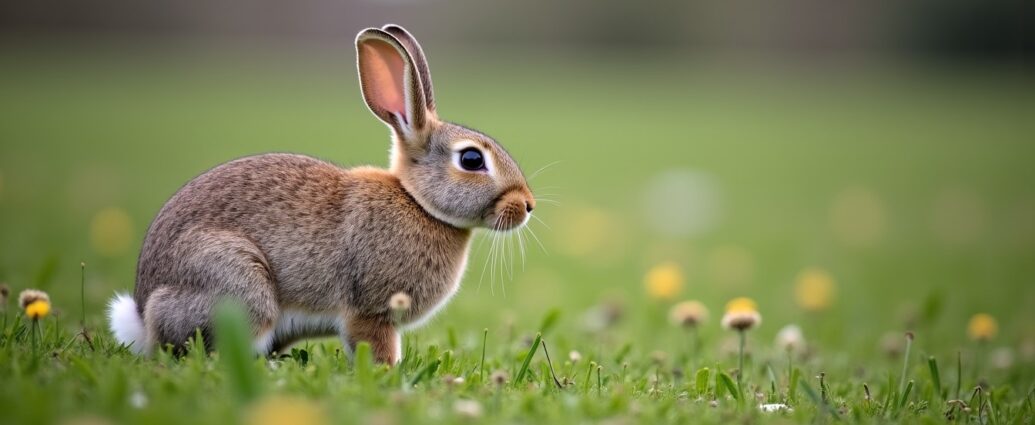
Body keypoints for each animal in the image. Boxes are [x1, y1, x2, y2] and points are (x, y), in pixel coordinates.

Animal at [107, 24, 536, 364]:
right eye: (471, 159)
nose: (527, 205)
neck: (418, 202)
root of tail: (143, 315)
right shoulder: (369, 312)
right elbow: (375, 346)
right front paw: (387, 374)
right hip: (239, 283)